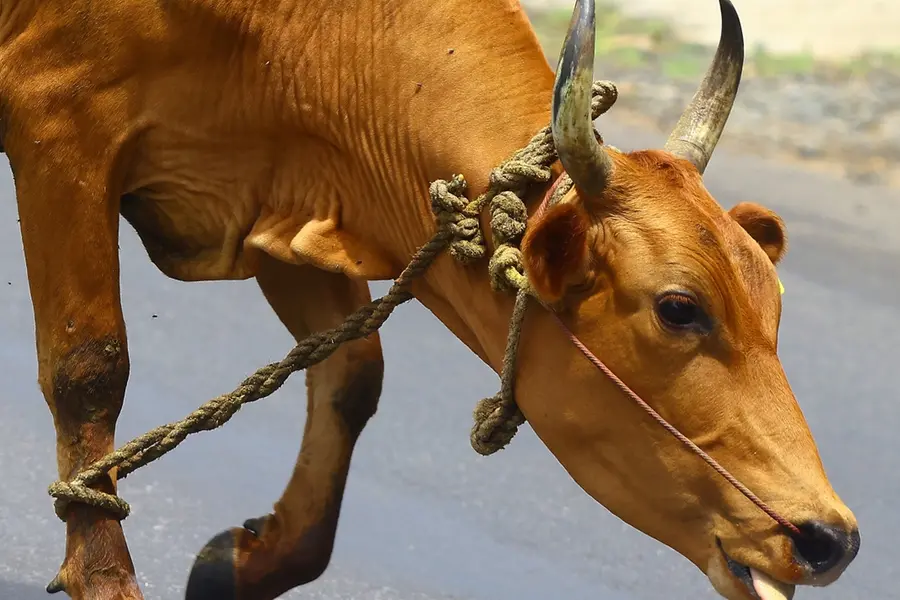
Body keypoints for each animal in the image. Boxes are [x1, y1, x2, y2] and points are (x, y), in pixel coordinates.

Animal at [0, 0, 860, 598]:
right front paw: (105, 577)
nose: (830, 537)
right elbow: (89, 368)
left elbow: (353, 378)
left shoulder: (290, 199)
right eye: (679, 308)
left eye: (775, 307)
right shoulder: (60, 125)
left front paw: (244, 563)